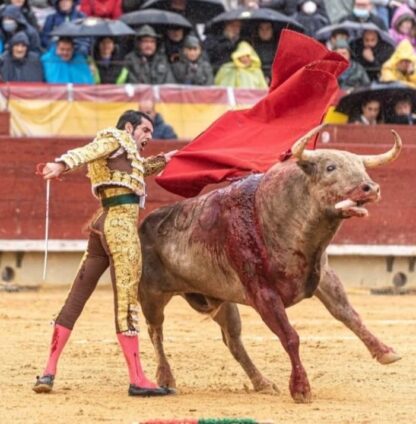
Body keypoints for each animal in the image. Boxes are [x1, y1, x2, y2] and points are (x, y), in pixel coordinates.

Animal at [138, 124, 402, 402]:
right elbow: (290, 336)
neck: (275, 215)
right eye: (330, 167)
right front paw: (301, 389)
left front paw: (385, 352)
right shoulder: (263, 294)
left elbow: (347, 313)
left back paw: (262, 382)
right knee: (155, 330)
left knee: (232, 340)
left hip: (220, 300)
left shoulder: (323, 275)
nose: (369, 188)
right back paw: (165, 378)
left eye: (362, 167)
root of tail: (144, 223)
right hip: (152, 294)